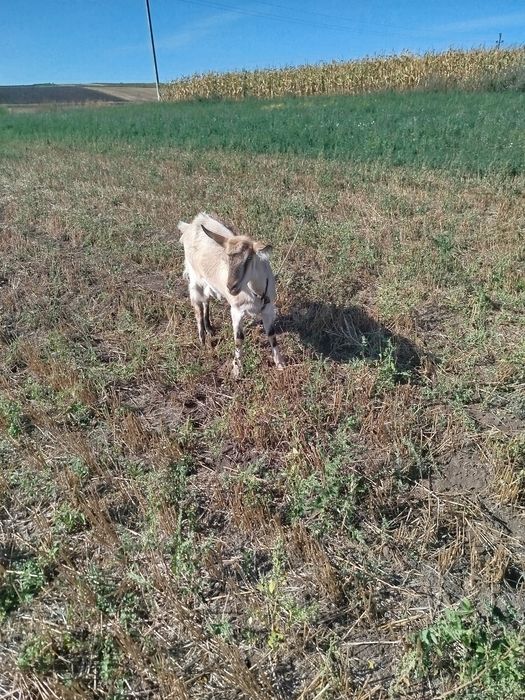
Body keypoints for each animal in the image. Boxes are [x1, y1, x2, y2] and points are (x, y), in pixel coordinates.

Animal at [178, 213, 285, 377]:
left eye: (249, 258)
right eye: (227, 257)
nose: (231, 287)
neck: (256, 292)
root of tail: (192, 224)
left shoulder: (268, 308)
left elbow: (272, 335)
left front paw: (280, 364)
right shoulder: (236, 310)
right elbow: (239, 339)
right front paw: (237, 370)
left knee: (206, 300)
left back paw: (209, 328)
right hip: (195, 279)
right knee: (197, 306)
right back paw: (202, 339)